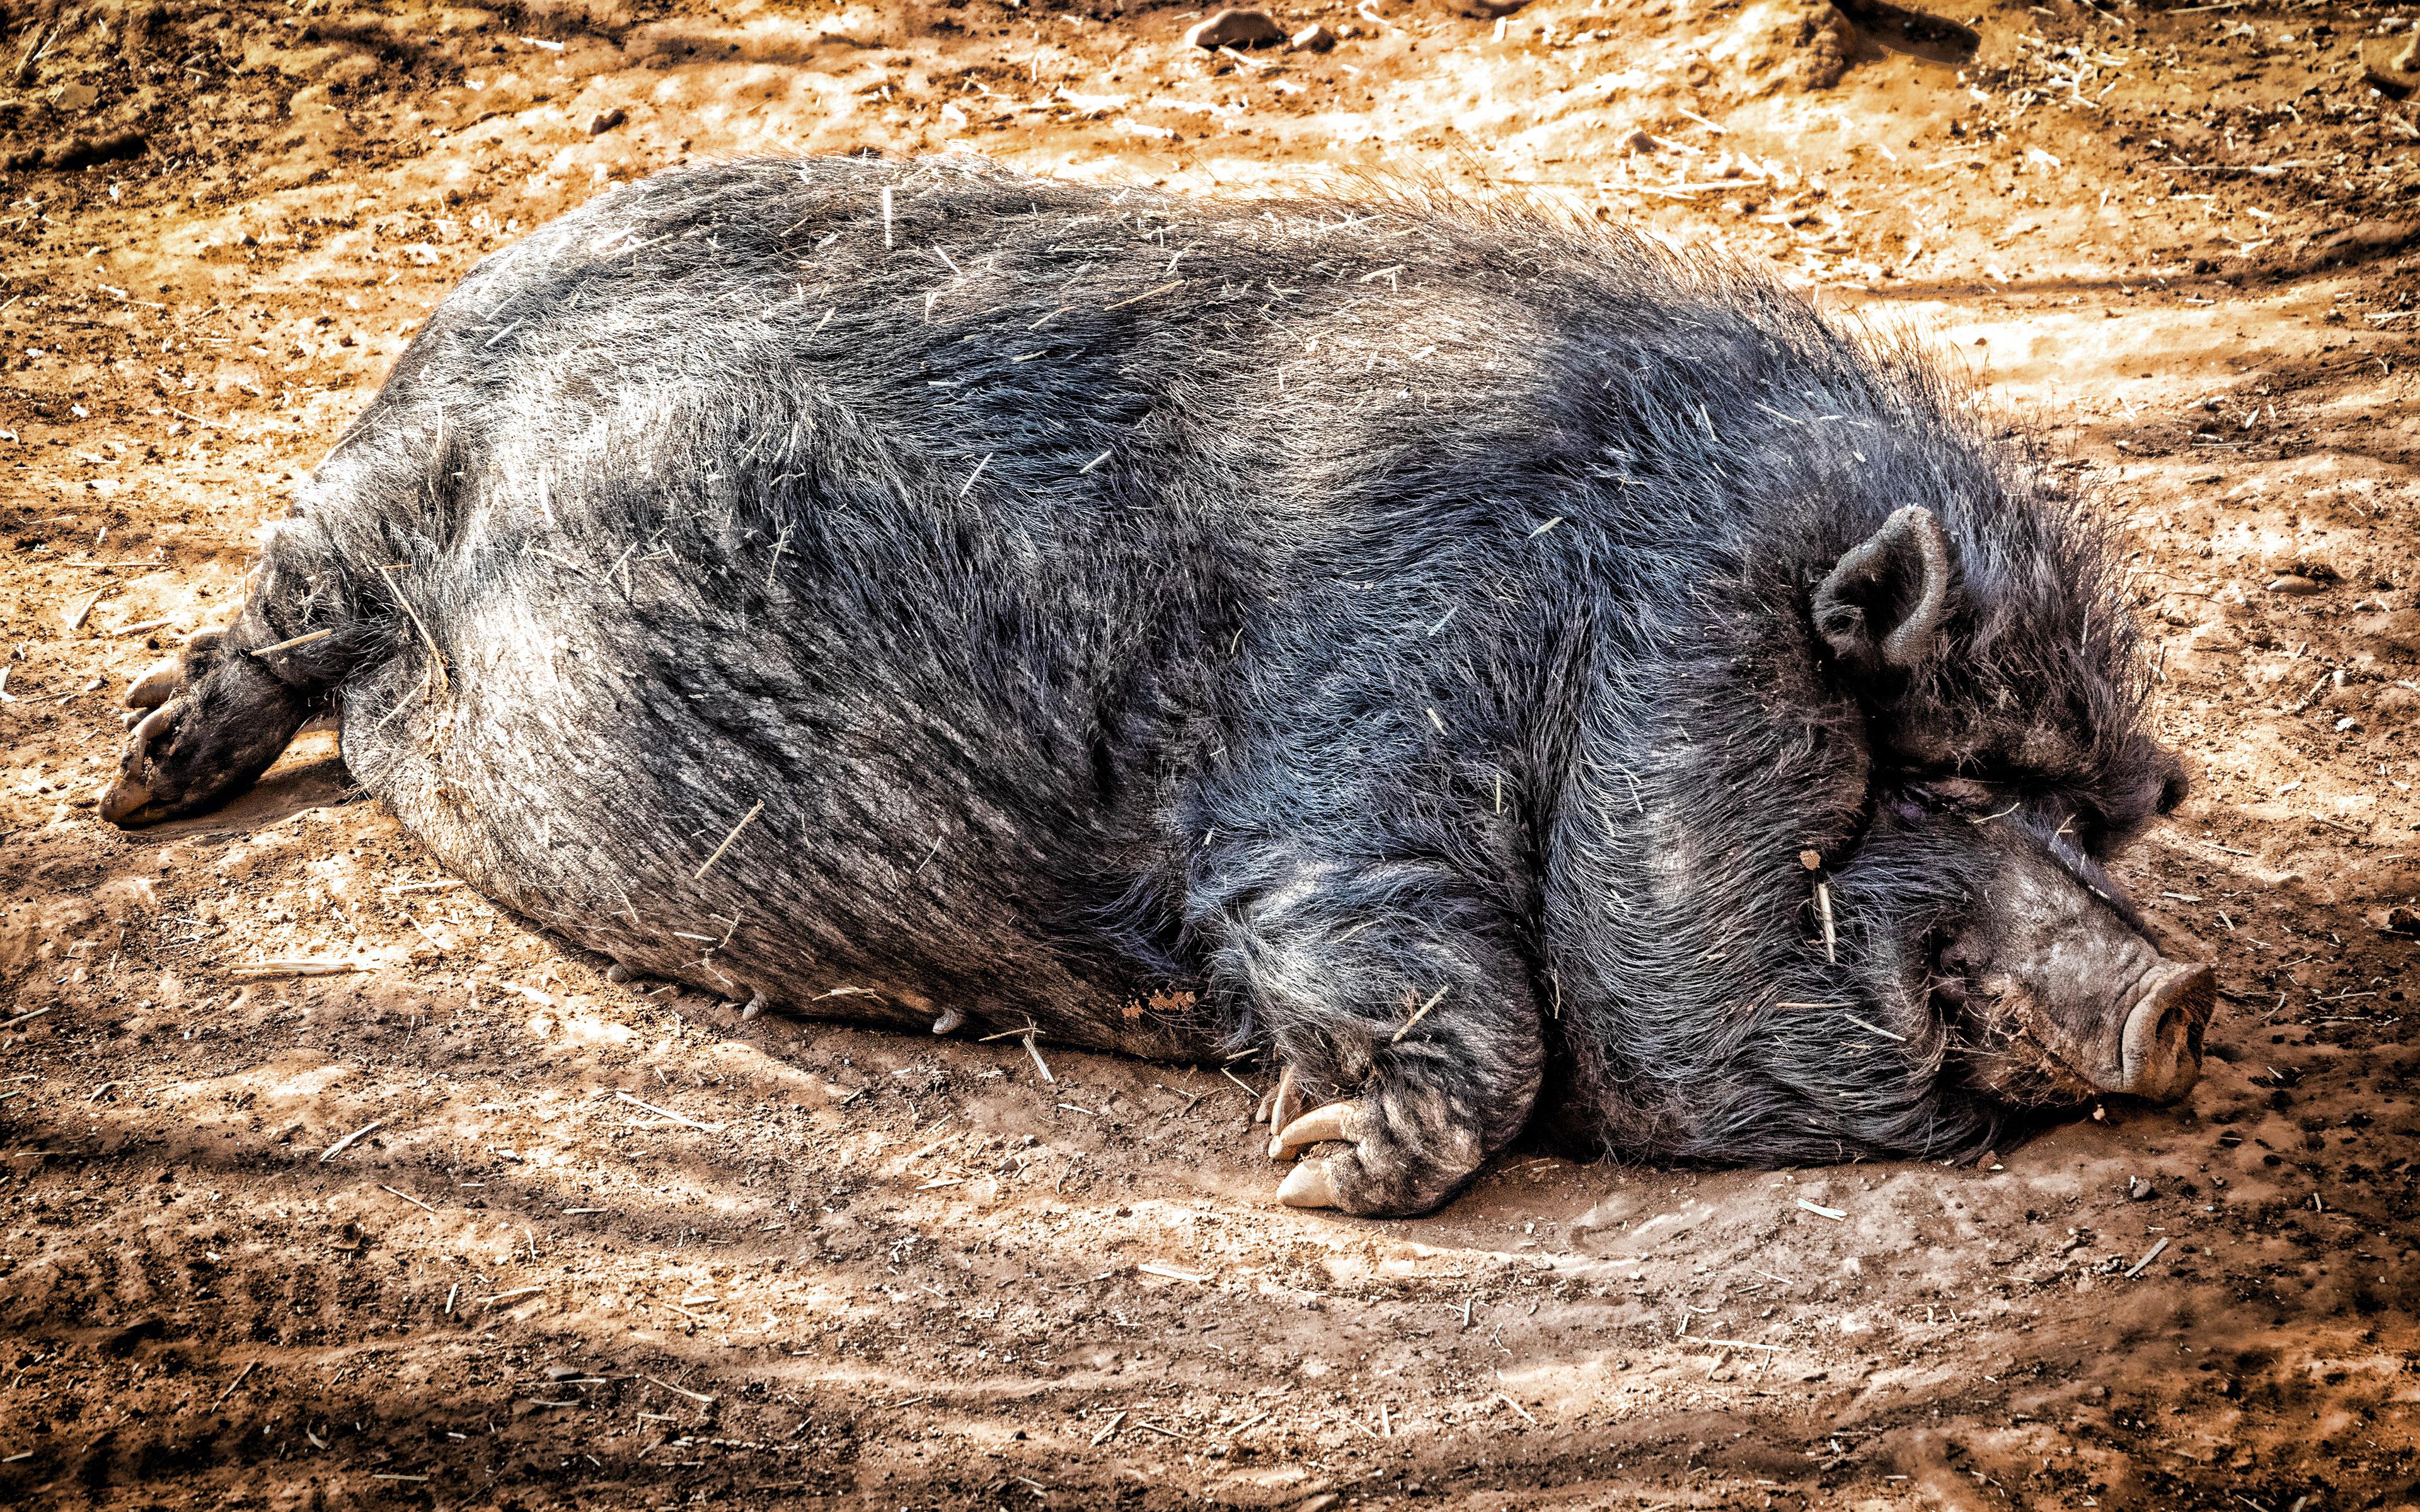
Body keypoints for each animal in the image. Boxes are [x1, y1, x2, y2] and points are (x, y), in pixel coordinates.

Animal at [102, 155, 2212, 1216]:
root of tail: (468, 292)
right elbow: (1457, 997)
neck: (1619, 631)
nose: (2181, 993)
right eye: (1945, 774)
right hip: (365, 497)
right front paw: (1309, 1176)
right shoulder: (1335, 785)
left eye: (2088, 815)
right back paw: (131, 784)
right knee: (277, 608)